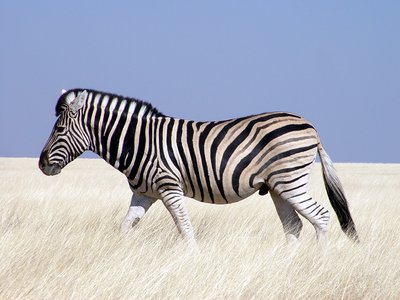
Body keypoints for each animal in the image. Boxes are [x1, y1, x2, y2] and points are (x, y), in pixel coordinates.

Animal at [39, 88, 360, 244]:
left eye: (59, 130)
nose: (42, 165)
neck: (137, 141)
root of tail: (311, 127)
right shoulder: (144, 193)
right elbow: (125, 227)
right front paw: (122, 256)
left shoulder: (168, 187)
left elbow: (185, 229)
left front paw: (190, 259)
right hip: (277, 186)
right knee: (294, 226)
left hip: (290, 181)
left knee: (321, 217)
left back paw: (318, 264)